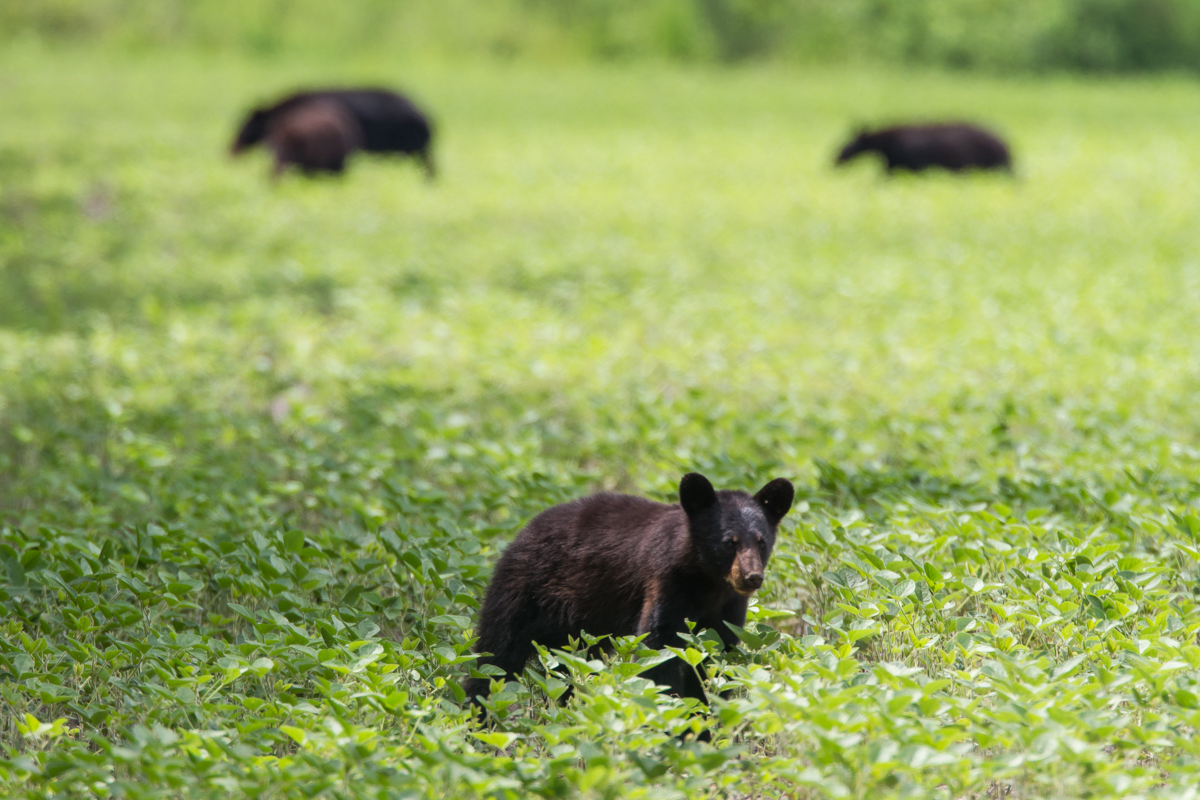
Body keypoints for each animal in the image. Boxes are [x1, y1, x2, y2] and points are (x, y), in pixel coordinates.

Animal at [463, 472, 795, 716]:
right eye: (729, 542)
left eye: (761, 541)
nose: (752, 577)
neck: (708, 584)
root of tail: (524, 529)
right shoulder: (667, 584)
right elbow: (657, 650)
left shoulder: (727, 609)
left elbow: (718, 659)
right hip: (523, 591)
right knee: (496, 656)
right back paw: (479, 717)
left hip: (579, 630)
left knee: (568, 669)